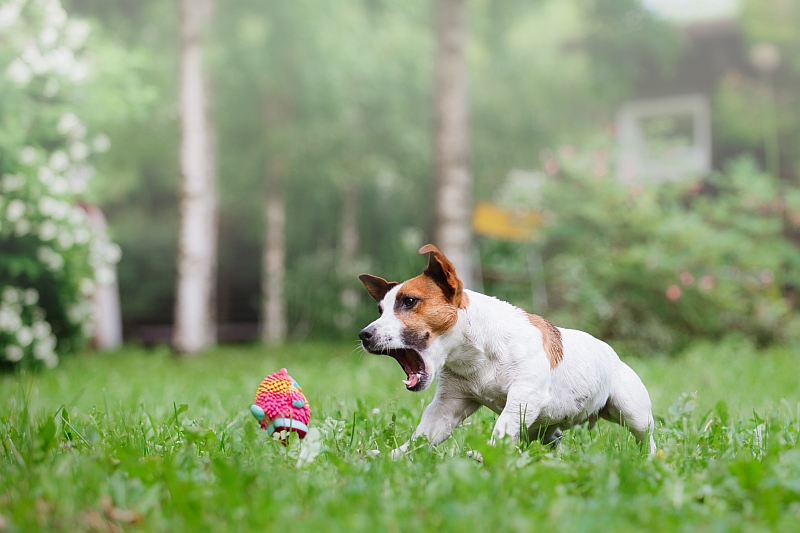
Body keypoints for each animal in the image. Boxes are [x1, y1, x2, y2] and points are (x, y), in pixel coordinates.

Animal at [358, 243, 656, 456]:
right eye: (380, 310)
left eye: (409, 301)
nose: (364, 335)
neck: (477, 353)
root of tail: (614, 356)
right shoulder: (449, 404)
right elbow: (422, 437)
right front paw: (393, 456)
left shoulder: (524, 396)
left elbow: (502, 426)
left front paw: (484, 456)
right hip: (545, 427)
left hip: (633, 412)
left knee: (647, 438)